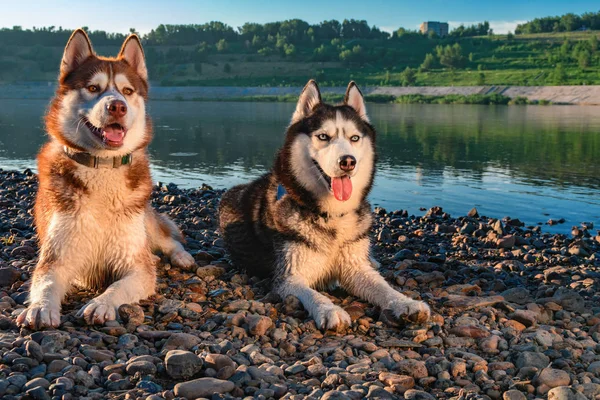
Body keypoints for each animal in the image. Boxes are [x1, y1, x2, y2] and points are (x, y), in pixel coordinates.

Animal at [17, 29, 195, 330]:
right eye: (93, 88)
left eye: (127, 91)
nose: (117, 107)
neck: (102, 167)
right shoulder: (57, 258)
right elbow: (46, 283)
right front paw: (40, 308)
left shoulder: (136, 263)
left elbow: (119, 286)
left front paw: (101, 303)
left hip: (145, 222)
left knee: (168, 240)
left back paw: (182, 256)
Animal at [220, 79, 432, 330]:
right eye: (323, 137)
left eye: (354, 138)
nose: (348, 161)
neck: (331, 215)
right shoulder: (289, 276)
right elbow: (313, 293)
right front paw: (330, 309)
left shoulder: (355, 267)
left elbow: (384, 288)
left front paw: (405, 302)